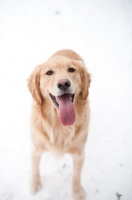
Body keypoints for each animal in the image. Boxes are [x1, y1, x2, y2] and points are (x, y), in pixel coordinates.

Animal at [27, 48, 91, 200]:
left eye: (71, 69)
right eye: (49, 72)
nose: (63, 83)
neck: (59, 126)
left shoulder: (79, 154)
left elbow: (76, 176)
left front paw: (77, 192)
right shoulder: (35, 149)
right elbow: (35, 168)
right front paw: (35, 185)